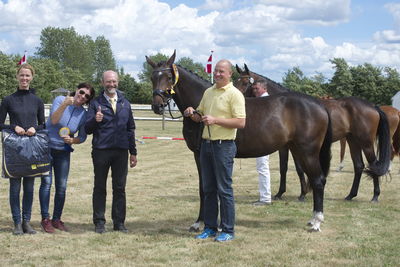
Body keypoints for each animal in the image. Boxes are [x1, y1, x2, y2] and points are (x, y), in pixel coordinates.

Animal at [145, 51, 332, 232]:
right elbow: (204, 187)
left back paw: (316, 222)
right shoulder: (201, 156)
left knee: (318, 180)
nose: (157, 106)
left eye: (169, 77)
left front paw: (208, 223)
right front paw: (201, 223)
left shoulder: (204, 154)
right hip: (299, 150)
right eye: (153, 77)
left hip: (308, 152)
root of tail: (319, 105)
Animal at [238, 66, 390, 202]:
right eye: (237, 81)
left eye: (245, 83)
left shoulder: (290, 147)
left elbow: (297, 169)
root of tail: (372, 106)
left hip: (366, 142)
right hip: (353, 141)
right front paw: (282, 193)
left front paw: (301, 194)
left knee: (373, 164)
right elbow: (284, 168)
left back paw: (375, 196)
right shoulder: (287, 146)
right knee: (359, 166)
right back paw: (350, 195)